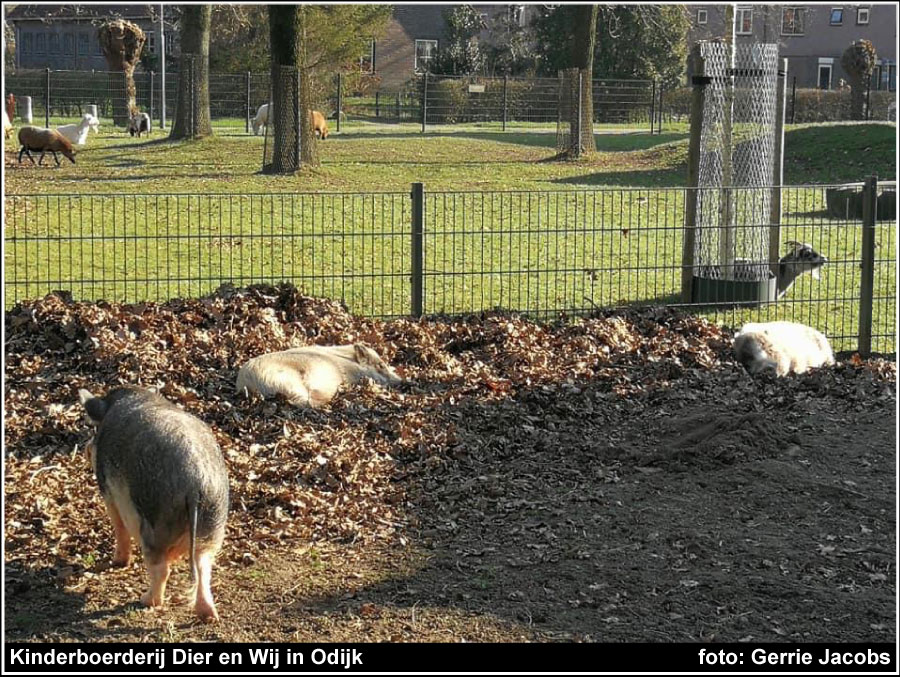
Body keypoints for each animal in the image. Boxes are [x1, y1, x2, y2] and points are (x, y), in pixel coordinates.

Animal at [78, 386, 230, 624]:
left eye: (93, 431)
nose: (86, 448)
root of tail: (195, 480)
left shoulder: (108, 491)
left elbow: (119, 527)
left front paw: (118, 562)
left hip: (156, 521)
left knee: (160, 568)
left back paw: (146, 600)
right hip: (213, 520)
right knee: (203, 565)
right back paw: (208, 615)